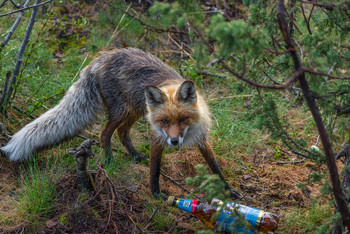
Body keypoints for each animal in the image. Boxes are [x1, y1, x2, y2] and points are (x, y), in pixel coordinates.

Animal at [0, 48, 241, 198]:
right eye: (164, 121)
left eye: (183, 119)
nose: (174, 142)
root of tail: (100, 58)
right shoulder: (157, 137)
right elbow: (155, 170)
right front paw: (156, 194)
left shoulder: (202, 138)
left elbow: (214, 166)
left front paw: (228, 190)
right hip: (121, 111)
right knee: (105, 134)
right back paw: (109, 160)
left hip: (135, 110)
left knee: (122, 133)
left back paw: (134, 155)